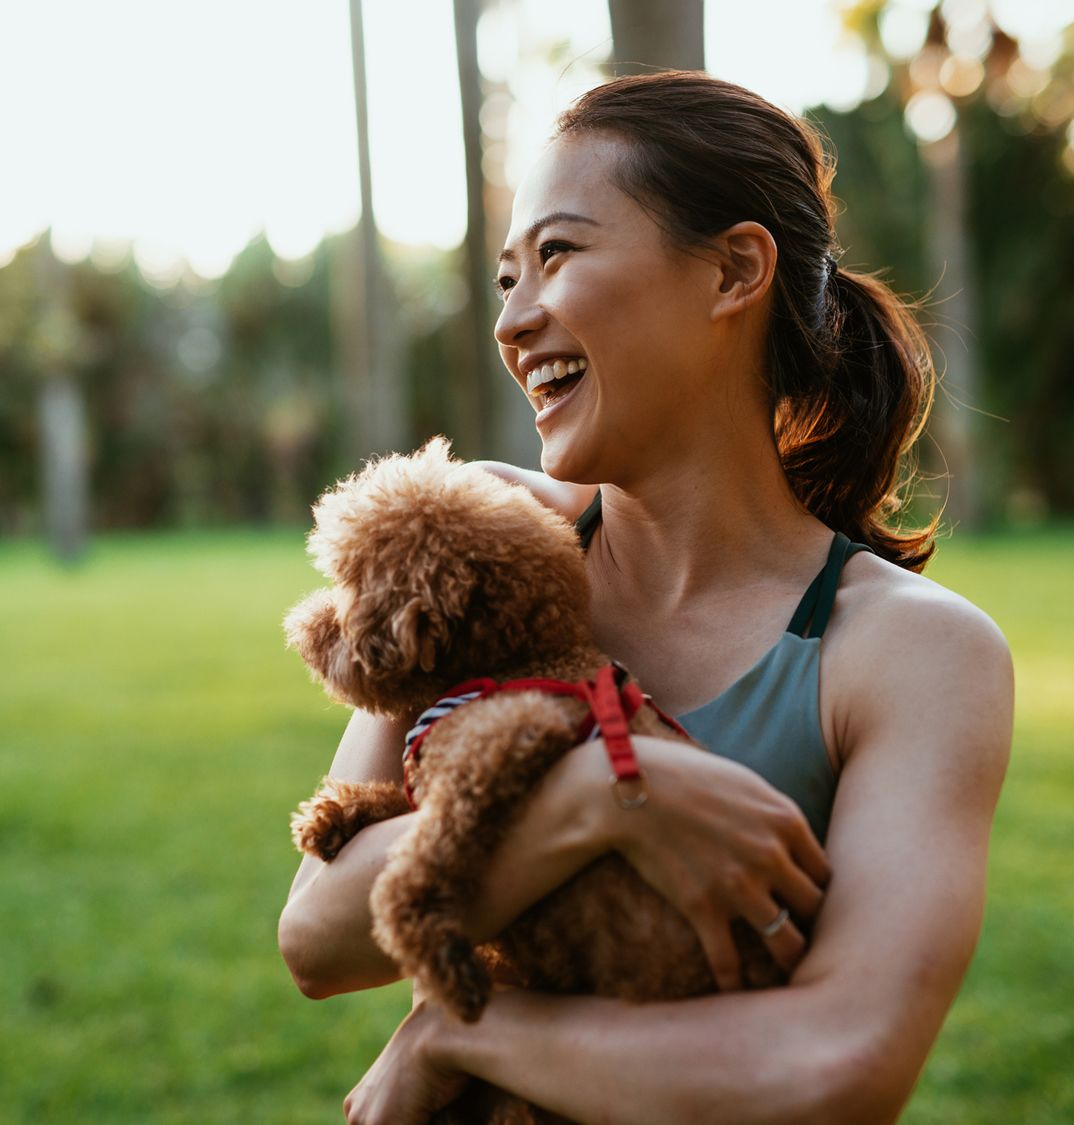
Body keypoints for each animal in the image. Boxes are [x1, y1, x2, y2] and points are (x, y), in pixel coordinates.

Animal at [285, 438, 782, 1125]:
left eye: (351, 586)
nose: (302, 624)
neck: (516, 663)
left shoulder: (505, 741)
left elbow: (421, 860)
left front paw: (437, 956)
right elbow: (404, 804)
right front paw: (335, 816)